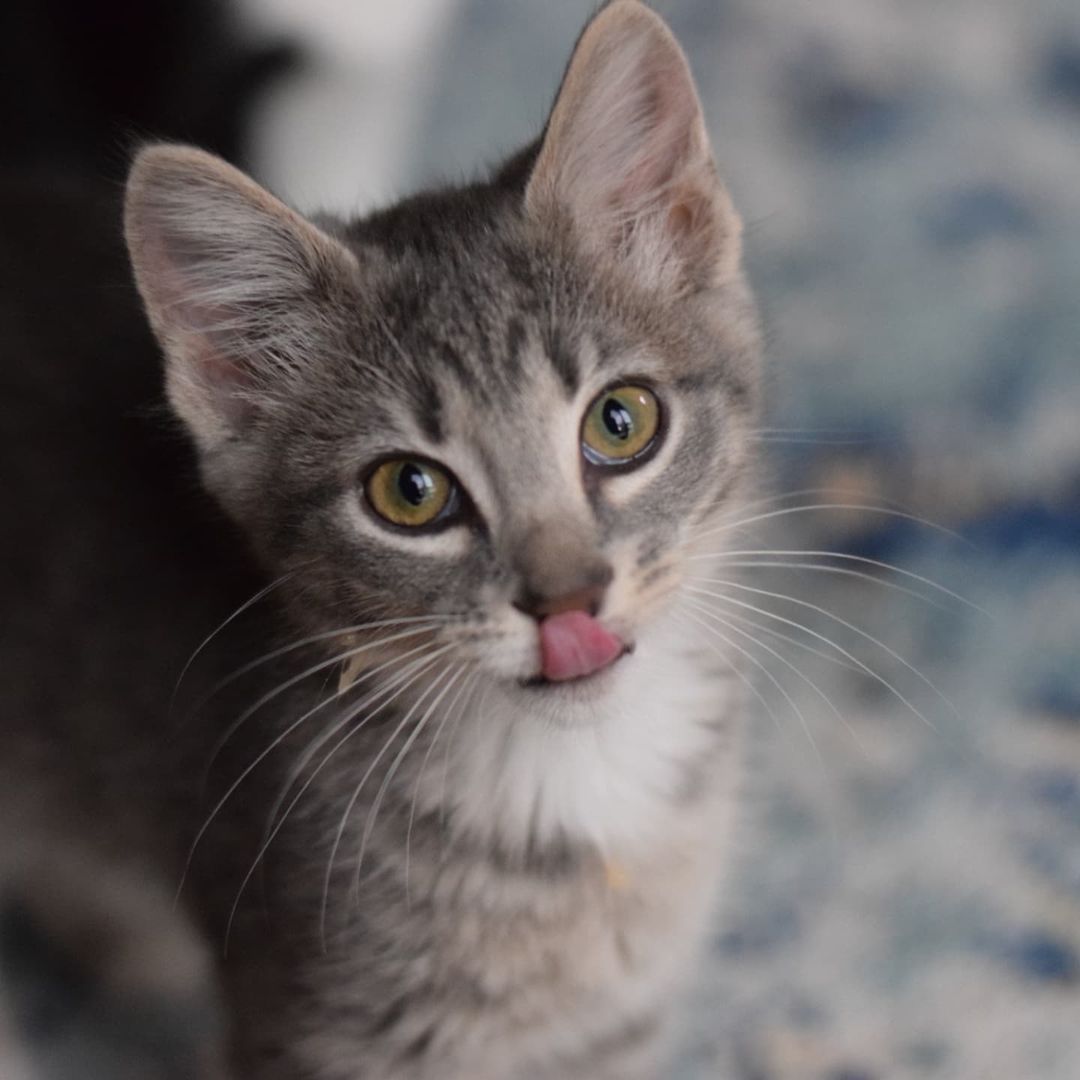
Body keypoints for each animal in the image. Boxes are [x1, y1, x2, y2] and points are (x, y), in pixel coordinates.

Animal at [2, 2, 760, 1080]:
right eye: (410, 492)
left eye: (622, 423)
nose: (567, 599)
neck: (570, 782)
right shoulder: (322, 1019)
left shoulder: (612, 1020)